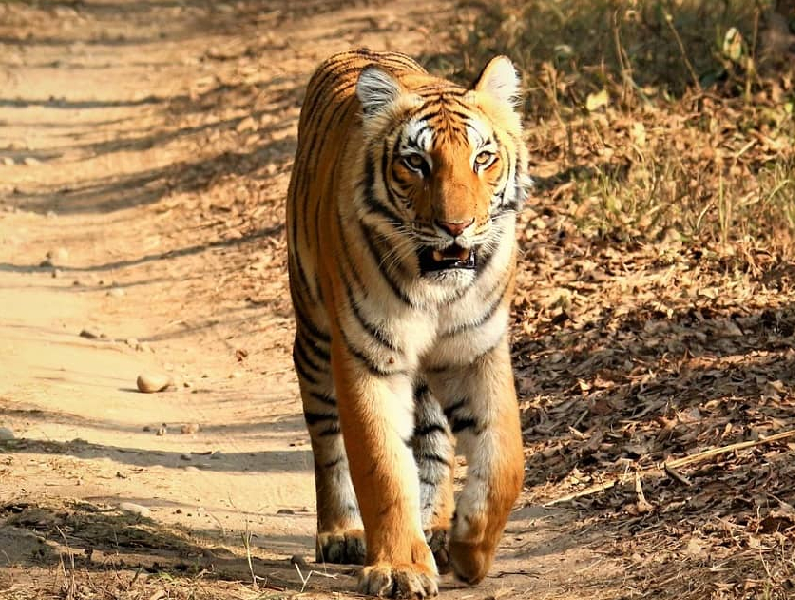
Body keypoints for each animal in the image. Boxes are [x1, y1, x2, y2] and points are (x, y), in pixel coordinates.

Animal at [286, 48, 528, 599]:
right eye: (416, 162)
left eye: (483, 158)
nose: (457, 226)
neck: (436, 288)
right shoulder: (367, 357)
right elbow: (383, 468)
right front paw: (400, 568)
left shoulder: (476, 350)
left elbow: (506, 459)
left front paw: (470, 548)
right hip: (314, 337)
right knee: (327, 437)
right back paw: (341, 532)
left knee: (435, 441)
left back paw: (437, 527)